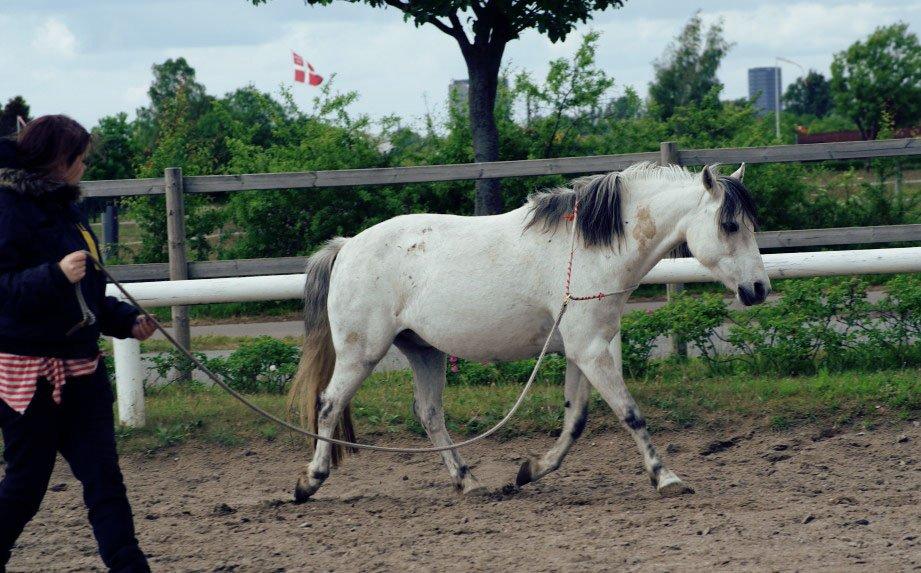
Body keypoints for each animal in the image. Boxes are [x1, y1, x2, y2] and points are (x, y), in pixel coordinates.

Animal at [292, 161, 764, 500]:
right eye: (729, 225)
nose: (758, 289)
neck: (589, 250)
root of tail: (346, 247)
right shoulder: (591, 351)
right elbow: (630, 413)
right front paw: (666, 477)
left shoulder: (584, 351)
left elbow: (576, 420)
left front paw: (531, 471)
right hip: (362, 353)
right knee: (329, 404)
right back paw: (310, 481)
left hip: (425, 351)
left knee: (429, 414)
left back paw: (468, 482)